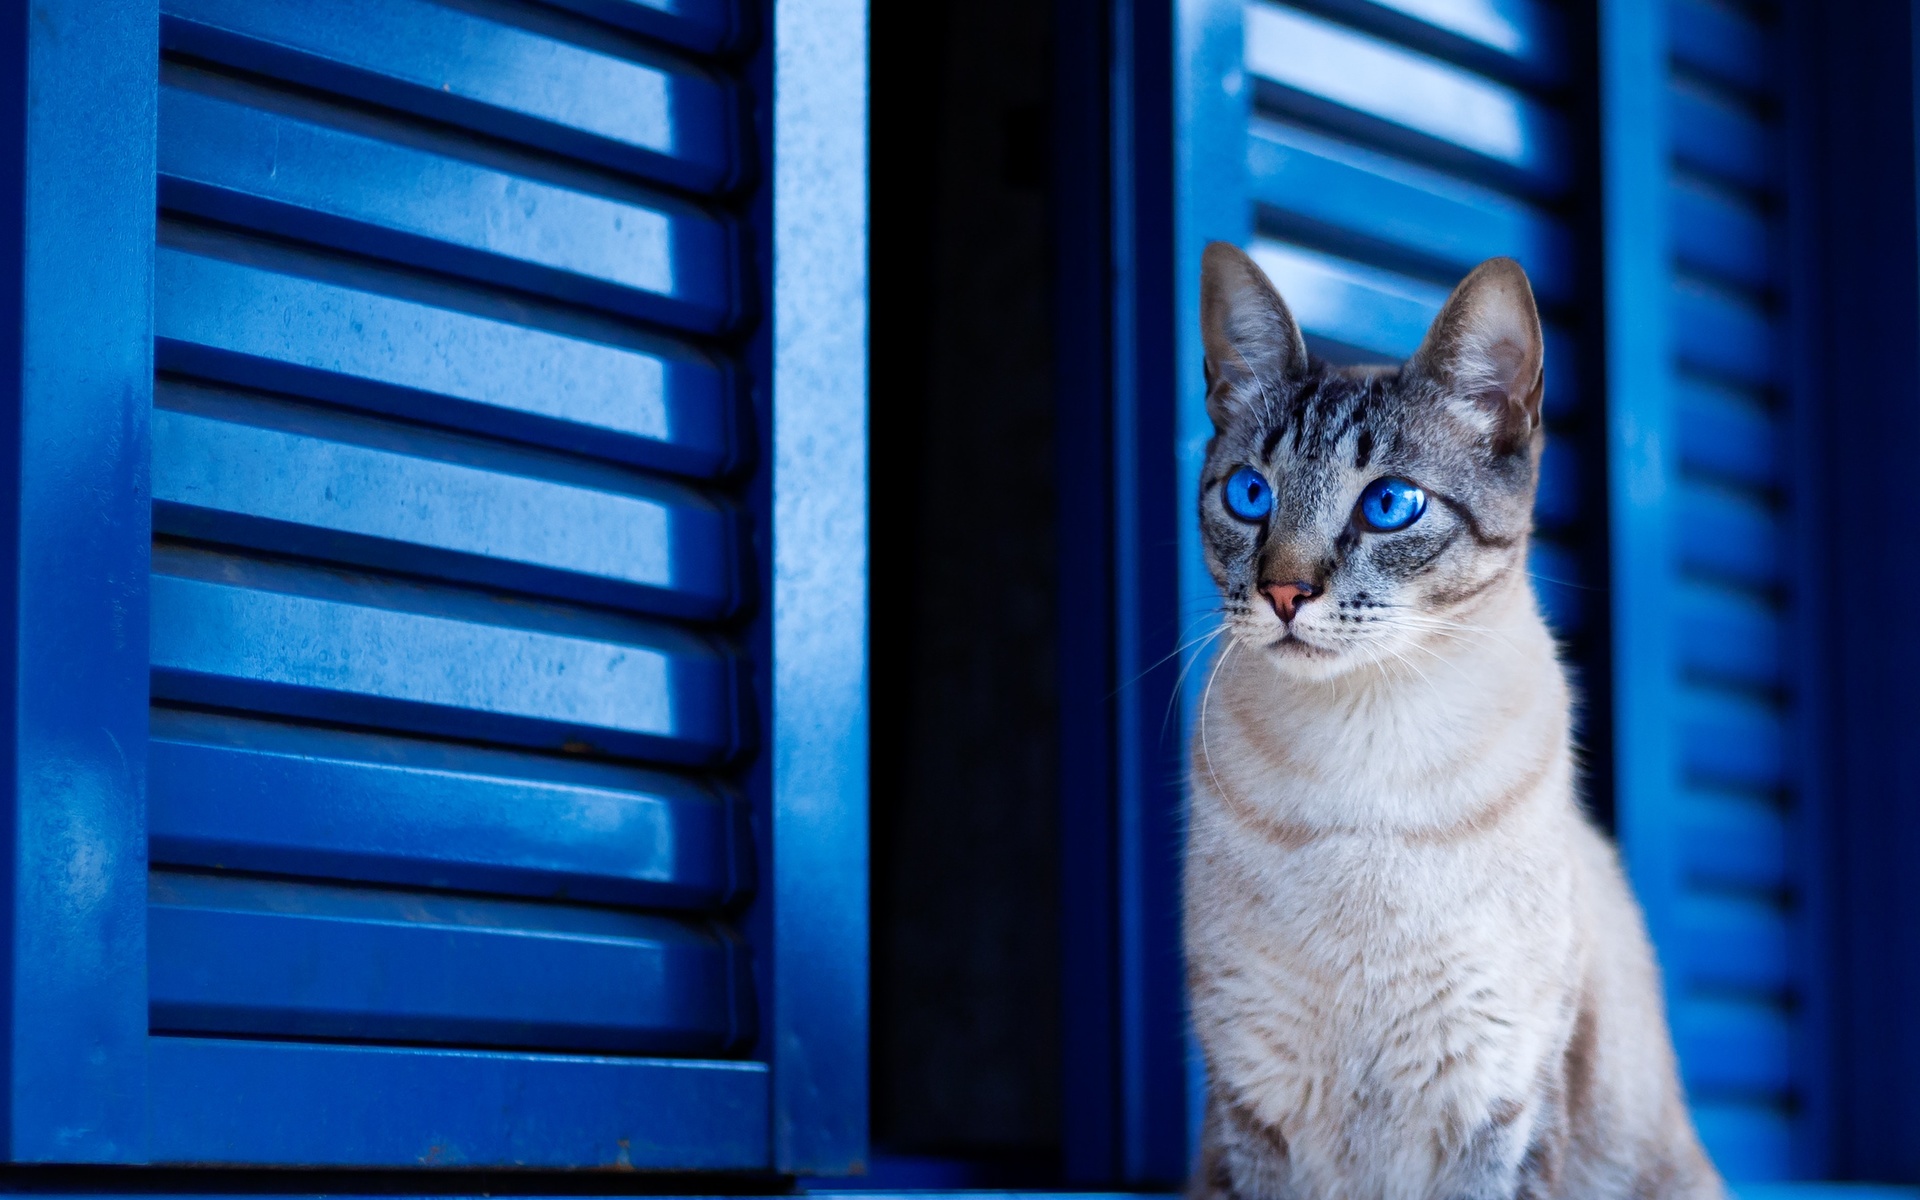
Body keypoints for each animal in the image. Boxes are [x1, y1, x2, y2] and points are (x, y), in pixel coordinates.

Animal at [1182, 243, 1728, 1198]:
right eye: (1250, 495)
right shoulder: (1250, 1107)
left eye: (1389, 505)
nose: (1283, 593)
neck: (1359, 772)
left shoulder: (1498, 1100)